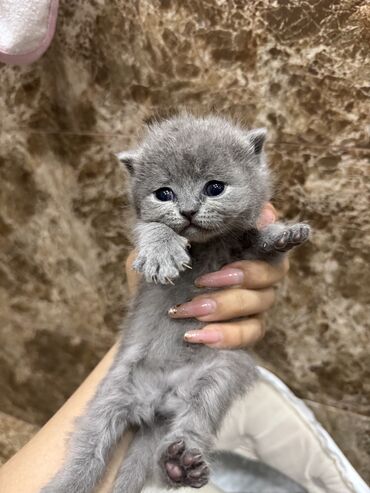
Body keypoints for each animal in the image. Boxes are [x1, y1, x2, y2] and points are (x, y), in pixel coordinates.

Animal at [40, 112, 310, 492]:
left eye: (214, 188)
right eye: (164, 194)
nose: (188, 211)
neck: (205, 247)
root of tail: (159, 401)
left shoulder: (248, 259)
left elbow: (259, 243)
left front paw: (281, 233)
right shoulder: (140, 228)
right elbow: (150, 227)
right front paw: (162, 252)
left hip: (221, 372)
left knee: (196, 420)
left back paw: (179, 464)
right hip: (110, 397)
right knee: (88, 452)